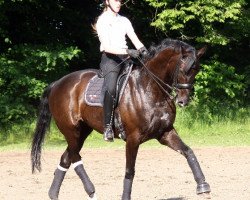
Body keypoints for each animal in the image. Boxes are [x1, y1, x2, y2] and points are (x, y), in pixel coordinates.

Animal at [31, 38, 211, 199]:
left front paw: (203, 186)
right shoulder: (133, 138)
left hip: (82, 132)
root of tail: (57, 84)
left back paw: (54, 194)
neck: (150, 89)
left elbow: (188, 151)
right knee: (75, 157)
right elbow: (129, 171)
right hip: (71, 131)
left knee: (66, 158)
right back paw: (92, 192)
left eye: (196, 70)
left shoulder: (165, 133)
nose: (183, 101)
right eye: (182, 69)